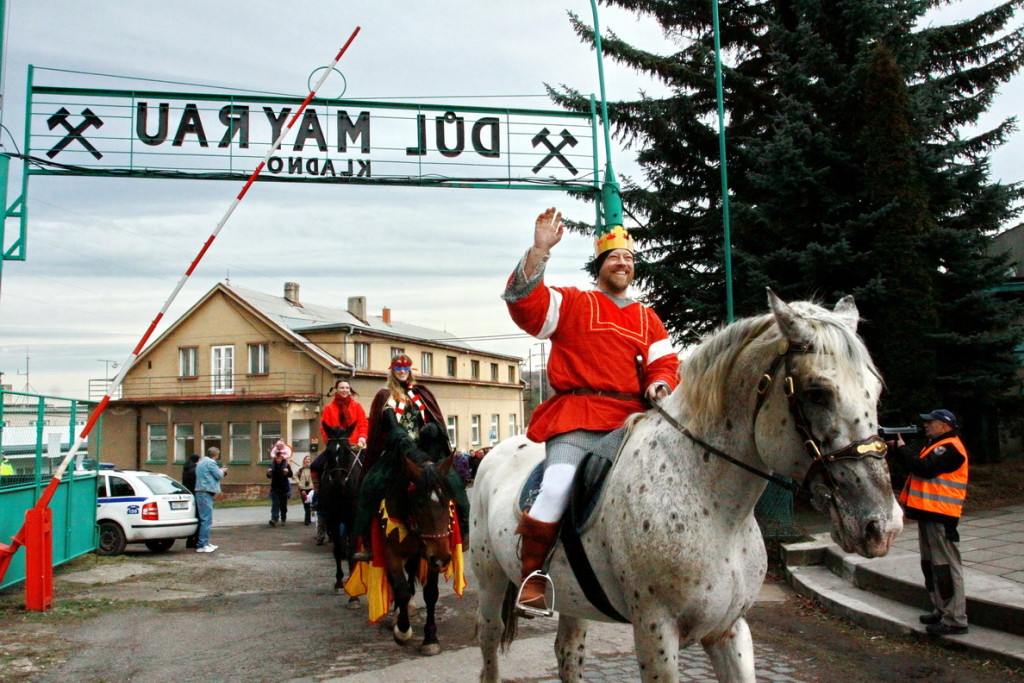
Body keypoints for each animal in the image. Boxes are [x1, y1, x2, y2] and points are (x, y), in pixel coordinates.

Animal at [473, 292, 905, 683]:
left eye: (877, 390)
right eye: (817, 393)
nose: (882, 526)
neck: (717, 510)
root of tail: (494, 452)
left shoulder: (731, 630)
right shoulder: (656, 633)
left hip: (572, 600)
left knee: (568, 653)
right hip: (490, 583)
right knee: (490, 649)